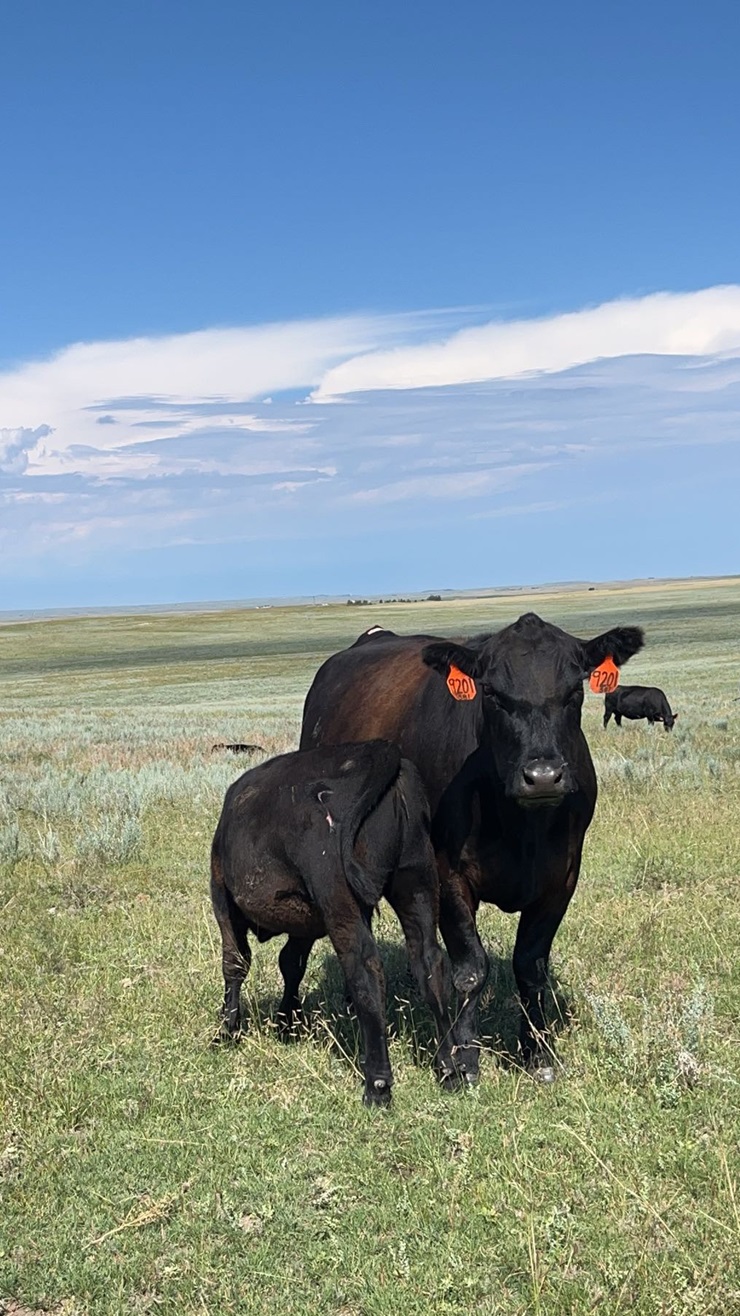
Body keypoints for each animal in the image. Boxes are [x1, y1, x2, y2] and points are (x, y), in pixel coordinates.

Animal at [210, 739, 457, 1106]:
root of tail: (377, 752)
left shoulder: (222, 898)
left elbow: (235, 964)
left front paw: (228, 1031)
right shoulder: (307, 920)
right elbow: (291, 963)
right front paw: (287, 1022)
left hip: (341, 900)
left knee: (365, 972)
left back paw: (377, 1085)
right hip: (417, 884)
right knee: (430, 962)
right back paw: (451, 1068)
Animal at [300, 614, 644, 1084]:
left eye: (574, 691)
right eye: (493, 695)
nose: (542, 775)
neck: (522, 828)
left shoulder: (561, 878)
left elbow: (530, 967)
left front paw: (538, 1055)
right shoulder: (447, 875)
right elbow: (470, 969)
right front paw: (462, 1059)